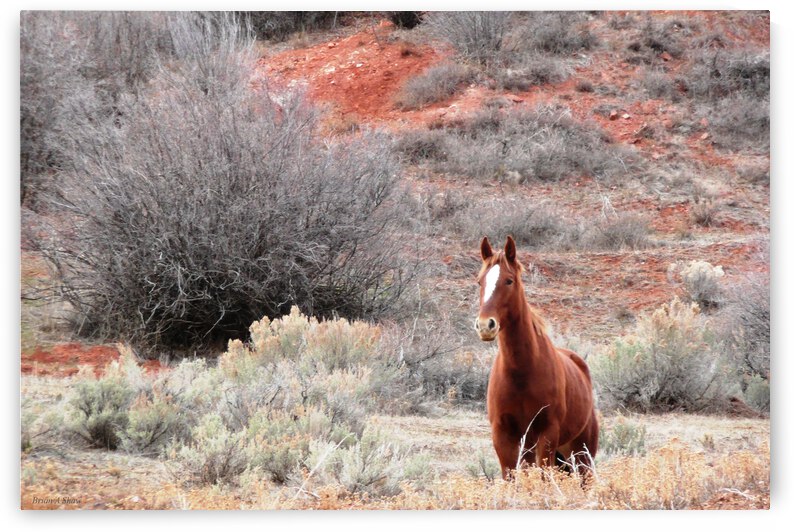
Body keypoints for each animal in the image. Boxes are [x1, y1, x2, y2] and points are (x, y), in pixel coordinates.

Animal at [474, 235, 599, 482]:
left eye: (509, 281)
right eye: (480, 282)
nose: (485, 325)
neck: (521, 372)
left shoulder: (546, 434)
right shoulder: (503, 436)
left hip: (582, 454)